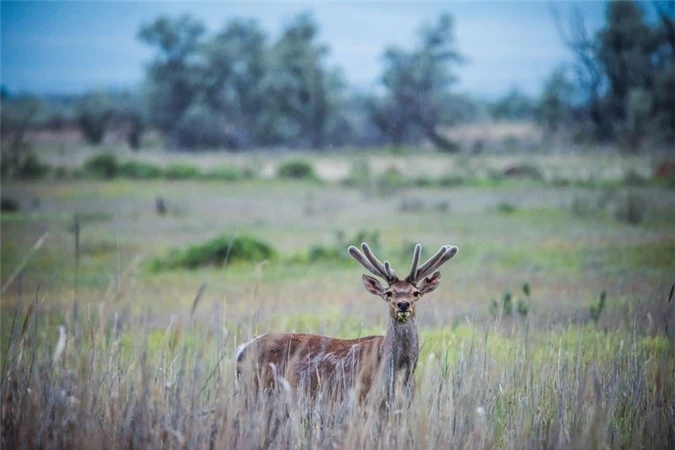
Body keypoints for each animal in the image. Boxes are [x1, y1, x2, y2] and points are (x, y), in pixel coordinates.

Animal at [235, 243, 462, 404]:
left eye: (416, 292)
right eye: (389, 293)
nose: (403, 304)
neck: (397, 372)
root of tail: (241, 350)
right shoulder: (360, 399)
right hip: (255, 392)